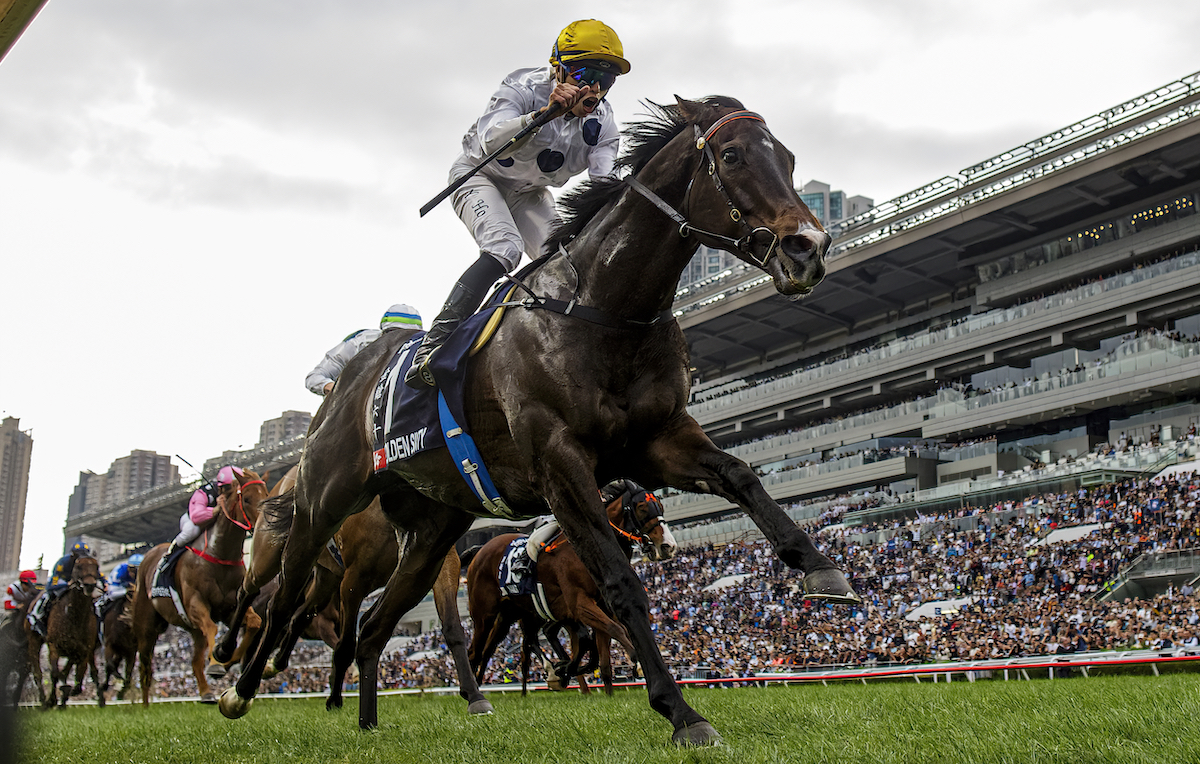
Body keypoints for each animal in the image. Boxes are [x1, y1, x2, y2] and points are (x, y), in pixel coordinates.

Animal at [25, 554, 104, 710]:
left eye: (96, 567)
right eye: (78, 566)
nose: (89, 585)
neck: (74, 616)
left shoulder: (83, 648)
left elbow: (79, 669)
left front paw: (72, 690)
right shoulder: (54, 645)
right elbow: (55, 673)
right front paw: (55, 698)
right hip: (34, 640)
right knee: (38, 672)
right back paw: (45, 701)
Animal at [133, 467, 270, 705]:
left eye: (267, 494)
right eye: (247, 498)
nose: (265, 526)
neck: (219, 555)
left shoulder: (229, 609)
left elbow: (254, 622)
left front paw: (225, 658)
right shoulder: (196, 604)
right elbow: (213, 628)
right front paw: (216, 663)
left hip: (193, 630)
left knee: (194, 660)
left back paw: (206, 693)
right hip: (146, 623)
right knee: (145, 662)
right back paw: (144, 704)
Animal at [225, 96, 859, 743]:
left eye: (788, 159)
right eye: (731, 156)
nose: (808, 247)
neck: (603, 311)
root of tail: (344, 382)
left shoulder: (657, 441)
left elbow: (742, 476)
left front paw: (822, 570)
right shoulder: (560, 465)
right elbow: (620, 584)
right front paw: (680, 711)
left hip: (433, 534)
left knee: (375, 625)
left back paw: (373, 721)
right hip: (324, 502)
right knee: (284, 598)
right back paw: (239, 687)